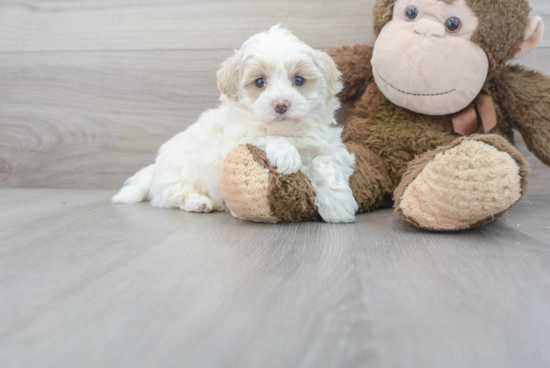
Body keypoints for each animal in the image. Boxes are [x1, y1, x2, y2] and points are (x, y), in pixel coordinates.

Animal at [114, 25, 360, 223]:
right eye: (260, 82)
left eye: (298, 80)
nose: (281, 104)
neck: (287, 131)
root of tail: (154, 170)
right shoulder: (235, 140)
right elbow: (263, 137)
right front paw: (287, 156)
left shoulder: (330, 147)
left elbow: (324, 165)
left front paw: (339, 206)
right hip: (178, 173)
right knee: (171, 197)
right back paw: (199, 202)